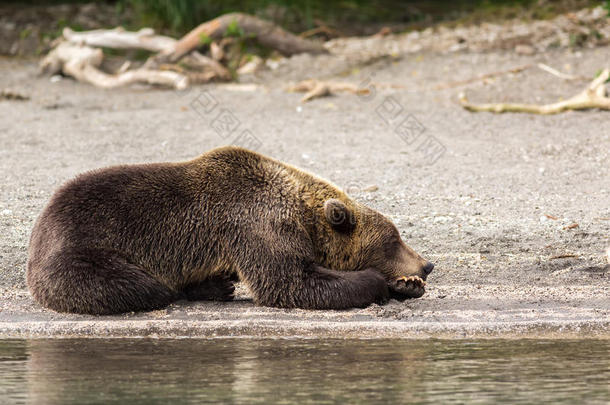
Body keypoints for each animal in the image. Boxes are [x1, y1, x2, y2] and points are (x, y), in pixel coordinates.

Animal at [26, 147, 430, 314]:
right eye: (393, 240)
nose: (427, 265)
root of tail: (39, 227)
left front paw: (405, 285)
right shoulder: (257, 223)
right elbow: (289, 280)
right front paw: (377, 281)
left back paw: (216, 284)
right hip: (79, 251)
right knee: (135, 284)